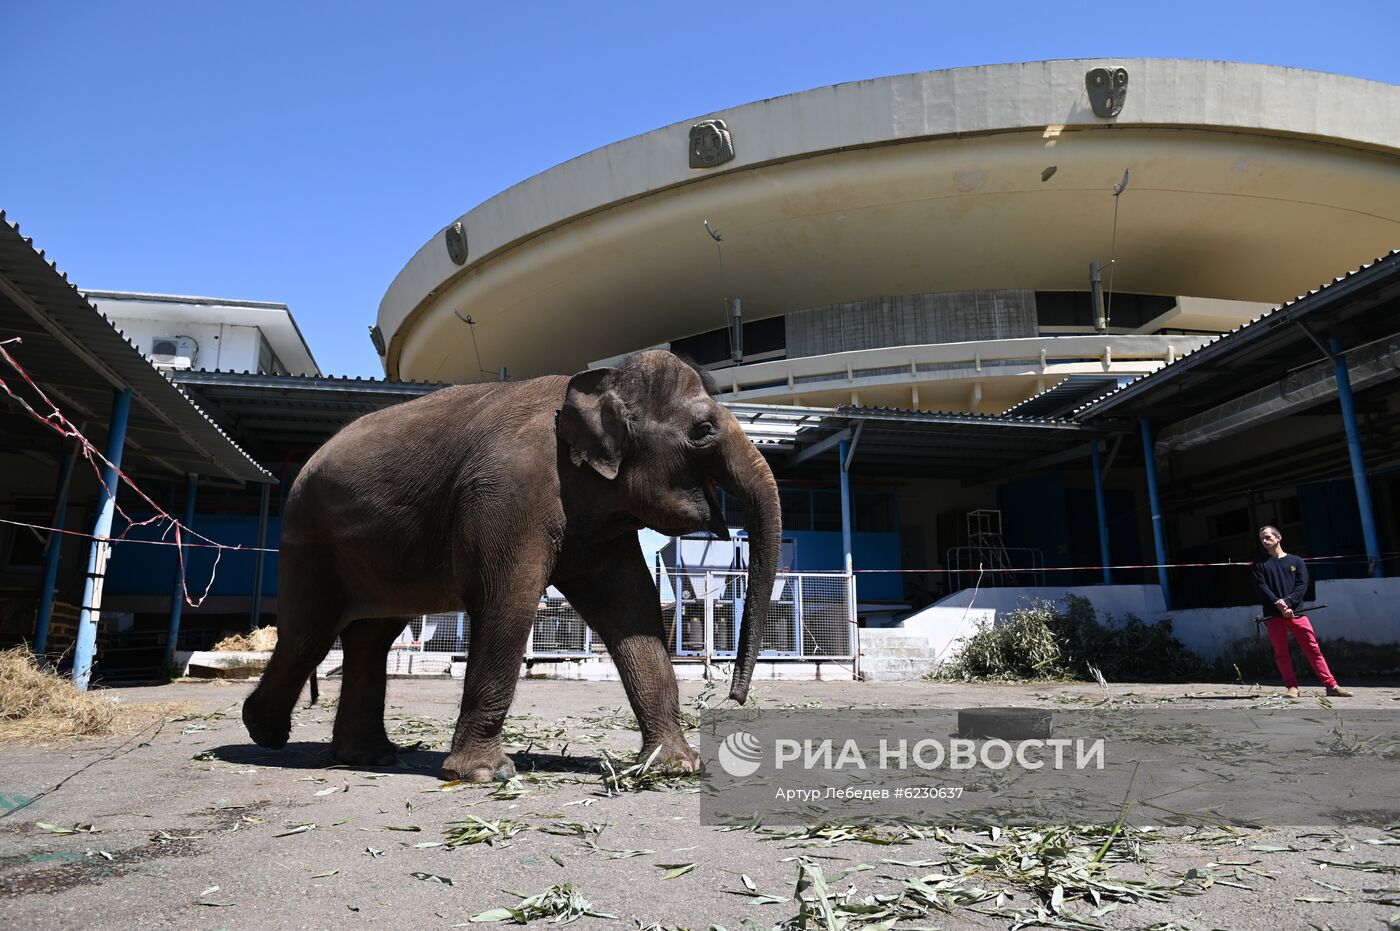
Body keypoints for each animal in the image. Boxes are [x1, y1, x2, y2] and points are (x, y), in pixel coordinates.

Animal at [245, 348, 784, 778]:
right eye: (703, 430)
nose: (732, 697)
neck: (594, 384)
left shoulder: (600, 520)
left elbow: (632, 609)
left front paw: (674, 768)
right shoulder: (508, 490)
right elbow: (508, 599)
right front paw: (485, 775)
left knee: (371, 637)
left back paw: (367, 757)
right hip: (309, 537)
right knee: (310, 633)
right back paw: (264, 732)